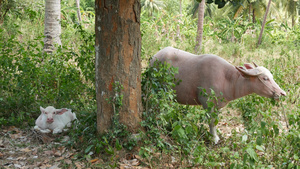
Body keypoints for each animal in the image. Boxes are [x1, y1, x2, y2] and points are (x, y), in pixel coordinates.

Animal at [150, 46, 286, 144]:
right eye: (265, 78)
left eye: (271, 76)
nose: (282, 93)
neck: (228, 79)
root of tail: (154, 58)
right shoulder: (207, 103)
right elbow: (211, 121)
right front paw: (213, 138)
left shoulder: (217, 106)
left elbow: (215, 121)